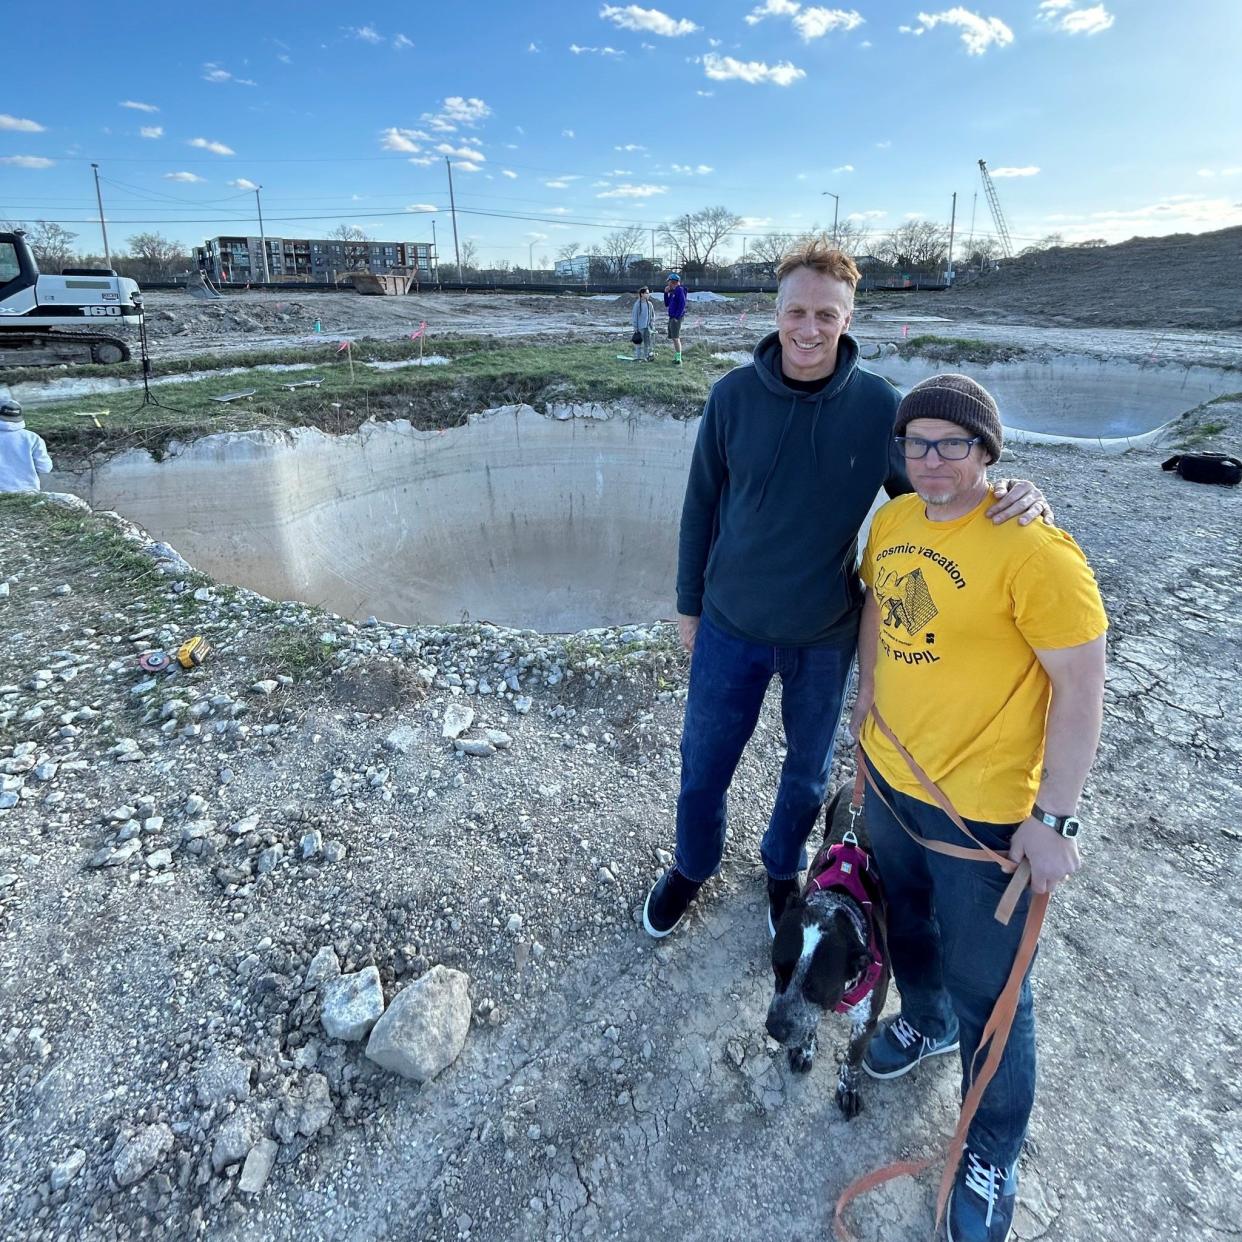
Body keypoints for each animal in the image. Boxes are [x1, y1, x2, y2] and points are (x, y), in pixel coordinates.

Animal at [760, 784, 889, 1117]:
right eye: (777, 970)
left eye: (814, 988)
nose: (773, 1029)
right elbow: (810, 1020)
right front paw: (805, 1048)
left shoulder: (866, 1022)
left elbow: (853, 1059)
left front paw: (848, 1088)